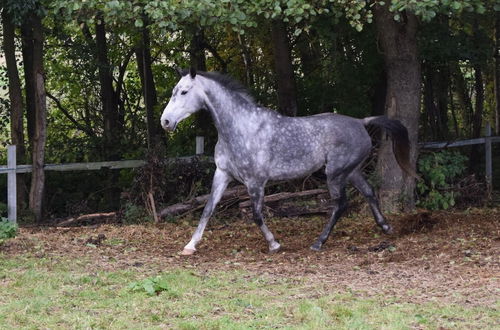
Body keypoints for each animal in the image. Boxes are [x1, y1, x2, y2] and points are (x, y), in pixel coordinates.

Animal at [160, 68, 414, 256]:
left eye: (184, 92)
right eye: (175, 91)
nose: (165, 122)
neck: (240, 127)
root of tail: (361, 122)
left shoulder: (256, 182)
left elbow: (256, 215)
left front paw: (274, 244)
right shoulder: (222, 174)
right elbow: (208, 209)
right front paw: (190, 246)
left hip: (335, 174)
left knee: (340, 205)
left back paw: (318, 242)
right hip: (351, 171)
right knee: (369, 192)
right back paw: (385, 226)